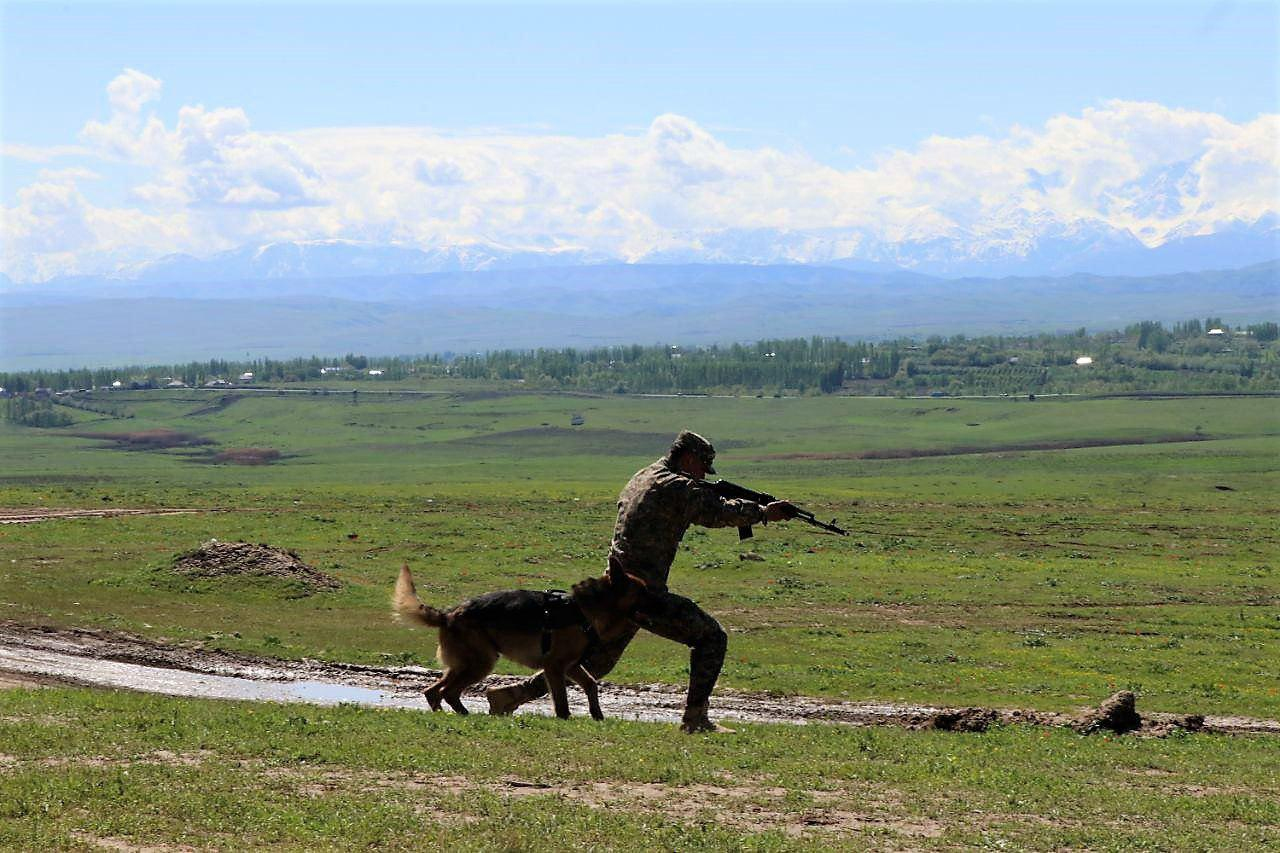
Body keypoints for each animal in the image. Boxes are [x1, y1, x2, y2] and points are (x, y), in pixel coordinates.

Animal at [389, 563, 645, 717]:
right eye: (646, 593)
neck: (583, 610)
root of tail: (449, 614)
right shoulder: (555, 667)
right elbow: (561, 701)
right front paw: (566, 719)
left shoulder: (572, 666)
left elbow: (591, 684)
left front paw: (597, 715)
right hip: (480, 664)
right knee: (447, 691)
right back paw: (465, 716)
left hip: (466, 664)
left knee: (433, 691)